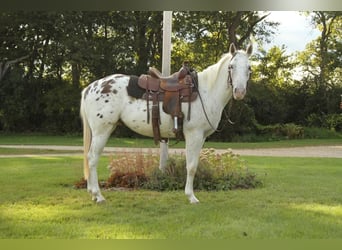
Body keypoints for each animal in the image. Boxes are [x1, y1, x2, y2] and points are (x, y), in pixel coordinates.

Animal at [79, 43, 251, 203]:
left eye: (249, 68)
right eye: (231, 66)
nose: (239, 92)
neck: (206, 92)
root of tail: (90, 87)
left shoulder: (201, 137)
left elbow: (194, 164)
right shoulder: (194, 135)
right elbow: (191, 167)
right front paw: (191, 197)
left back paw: (93, 194)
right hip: (102, 131)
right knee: (92, 158)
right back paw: (98, 195)